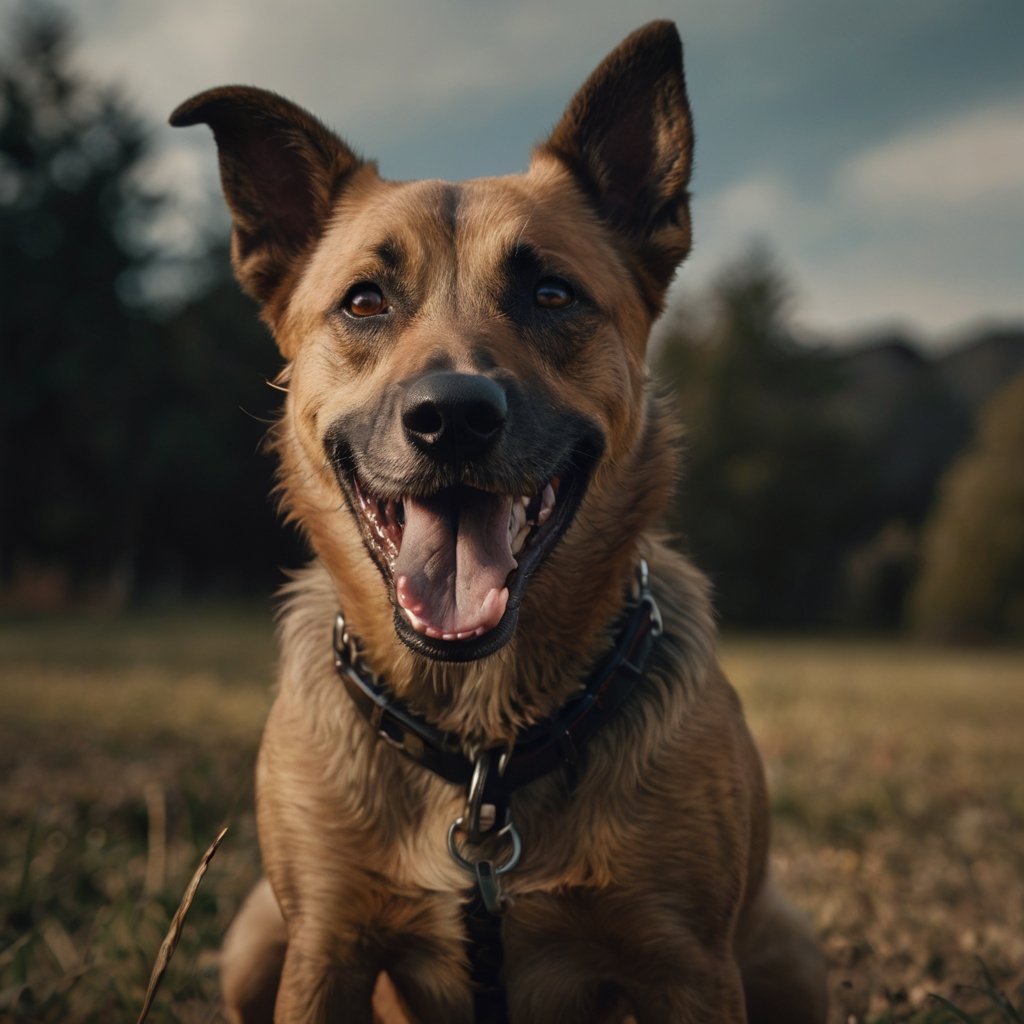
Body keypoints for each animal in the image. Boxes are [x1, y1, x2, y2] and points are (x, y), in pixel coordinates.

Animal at [167, 18, 823, 1024]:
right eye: (365, 300)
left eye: (551, 293)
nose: (453, 418)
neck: (482, 744)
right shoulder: (323, 950)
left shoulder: (688, 966)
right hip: (253, 942)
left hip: (785, 950)